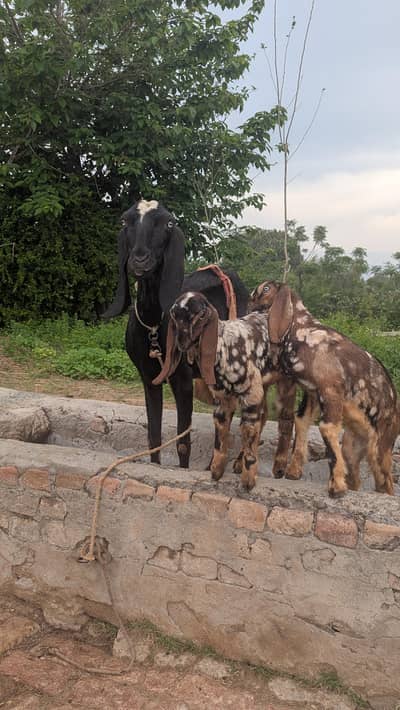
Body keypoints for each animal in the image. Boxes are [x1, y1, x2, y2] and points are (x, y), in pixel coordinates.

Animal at [103, 199, 249, 468]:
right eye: (124, 220)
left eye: (168, 223)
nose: (140, 260)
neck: (154, 324)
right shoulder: (148, 375)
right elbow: (153, 436)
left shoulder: (182, 379)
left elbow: (183, 442)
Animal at [153, 290, 285, 490]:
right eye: (174, 315)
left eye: (200, 314)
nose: (181, 342)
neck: (224, 348)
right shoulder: (223, 399)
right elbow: (221, 434)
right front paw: (216, 471)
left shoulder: (250, 393)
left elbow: (248, 430)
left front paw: (248, 480)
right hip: (263, 384)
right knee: (263, 418)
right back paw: (238, 463)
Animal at [250, 280, 399, 497]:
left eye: (265, 289)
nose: (249, 307)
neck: (303, 332)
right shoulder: (312, 392)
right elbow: (301, 421)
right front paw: (293, 471)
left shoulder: (330, 390)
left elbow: (327, 429)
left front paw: (335, 487)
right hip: (353, 450)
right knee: (355, 477)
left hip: (381, 448)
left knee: (386, 483)